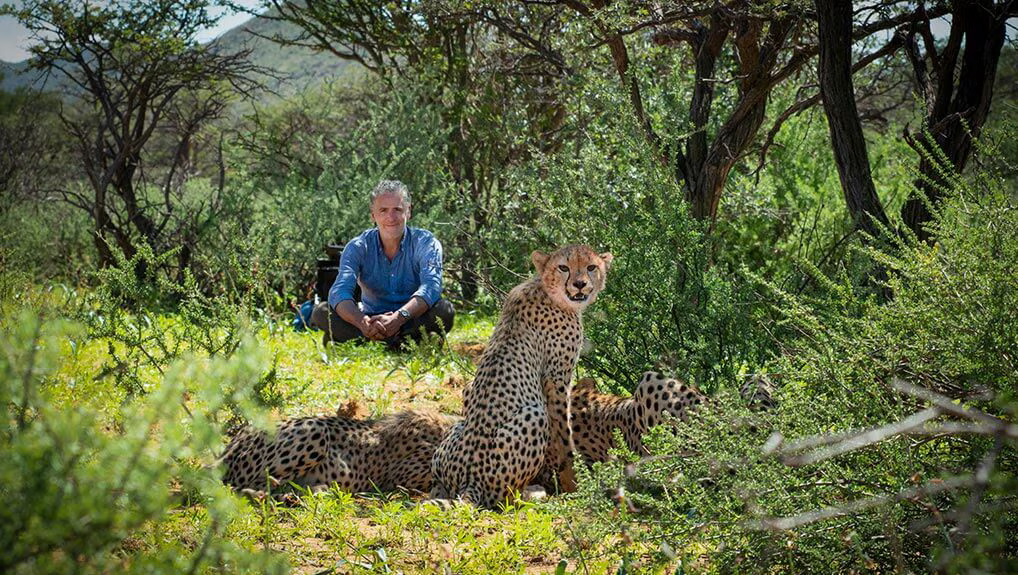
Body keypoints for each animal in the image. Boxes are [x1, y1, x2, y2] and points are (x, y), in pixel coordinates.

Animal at [429, 244, 612, 508]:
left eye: (591, 267)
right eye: (563, 267)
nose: (579, 284)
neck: (546, 289)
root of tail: (470, 480)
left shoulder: (469, 389)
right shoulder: (557, 378)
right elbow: (564, 435)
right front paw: (573, 482)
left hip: (455, 430)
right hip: (534, 415)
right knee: (504, 497)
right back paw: (532, 492)